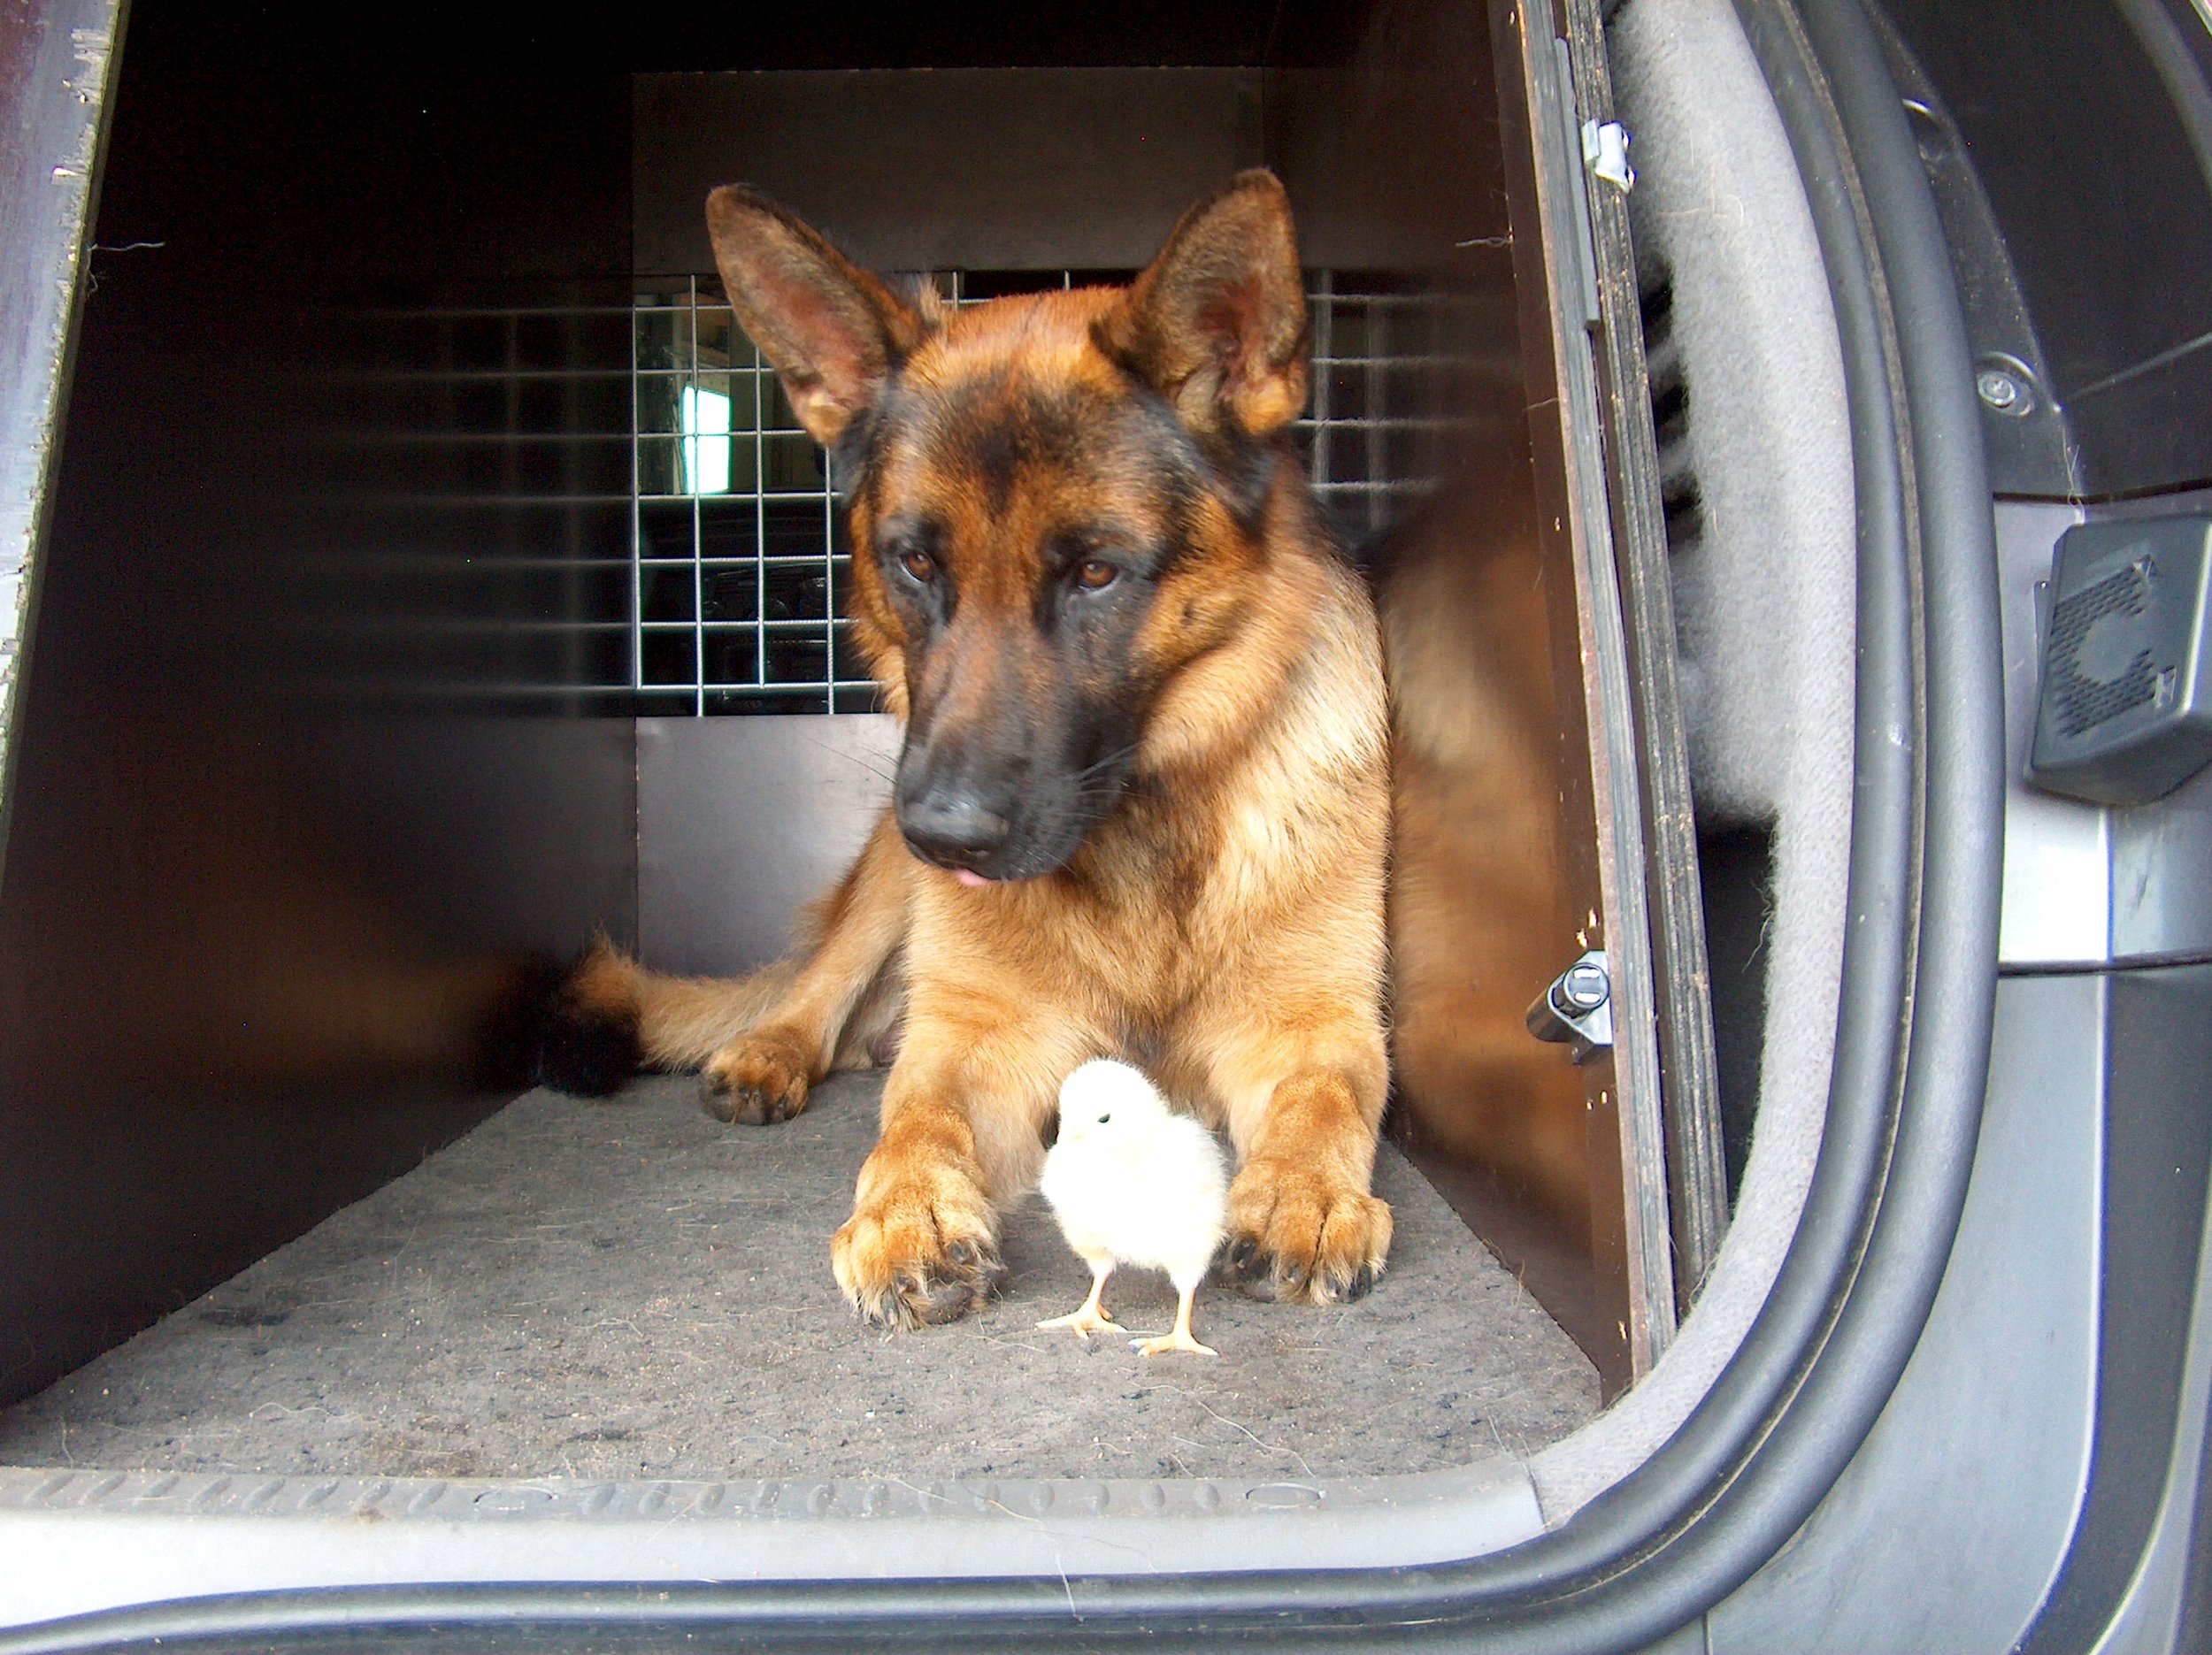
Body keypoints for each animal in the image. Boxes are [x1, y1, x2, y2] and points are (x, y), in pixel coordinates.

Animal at [544, 171, 1389, 1327]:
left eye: (1095, 572)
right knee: (822, 984)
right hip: (882, 879)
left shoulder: (1313, 1023)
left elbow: (1322, 1099)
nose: (944, 835)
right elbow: (916, 1117)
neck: (1143, 832)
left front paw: (1305, 1191)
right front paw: (908, 1211)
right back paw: (768, 1049)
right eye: (913, 562)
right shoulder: (978, 1037)